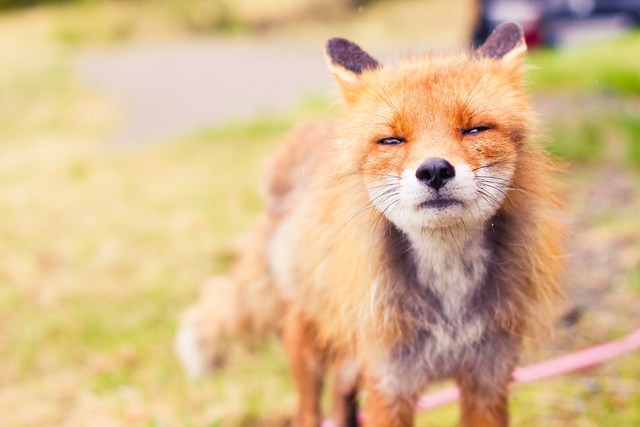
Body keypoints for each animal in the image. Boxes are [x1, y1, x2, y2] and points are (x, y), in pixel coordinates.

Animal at [176, 22, 564, 427]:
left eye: (475, 129)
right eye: (391, 140)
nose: (434, 170)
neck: (449, 305)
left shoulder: (488, 379)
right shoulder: (389, 384)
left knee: (340, 390)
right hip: (309, 340)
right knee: (307, 409)